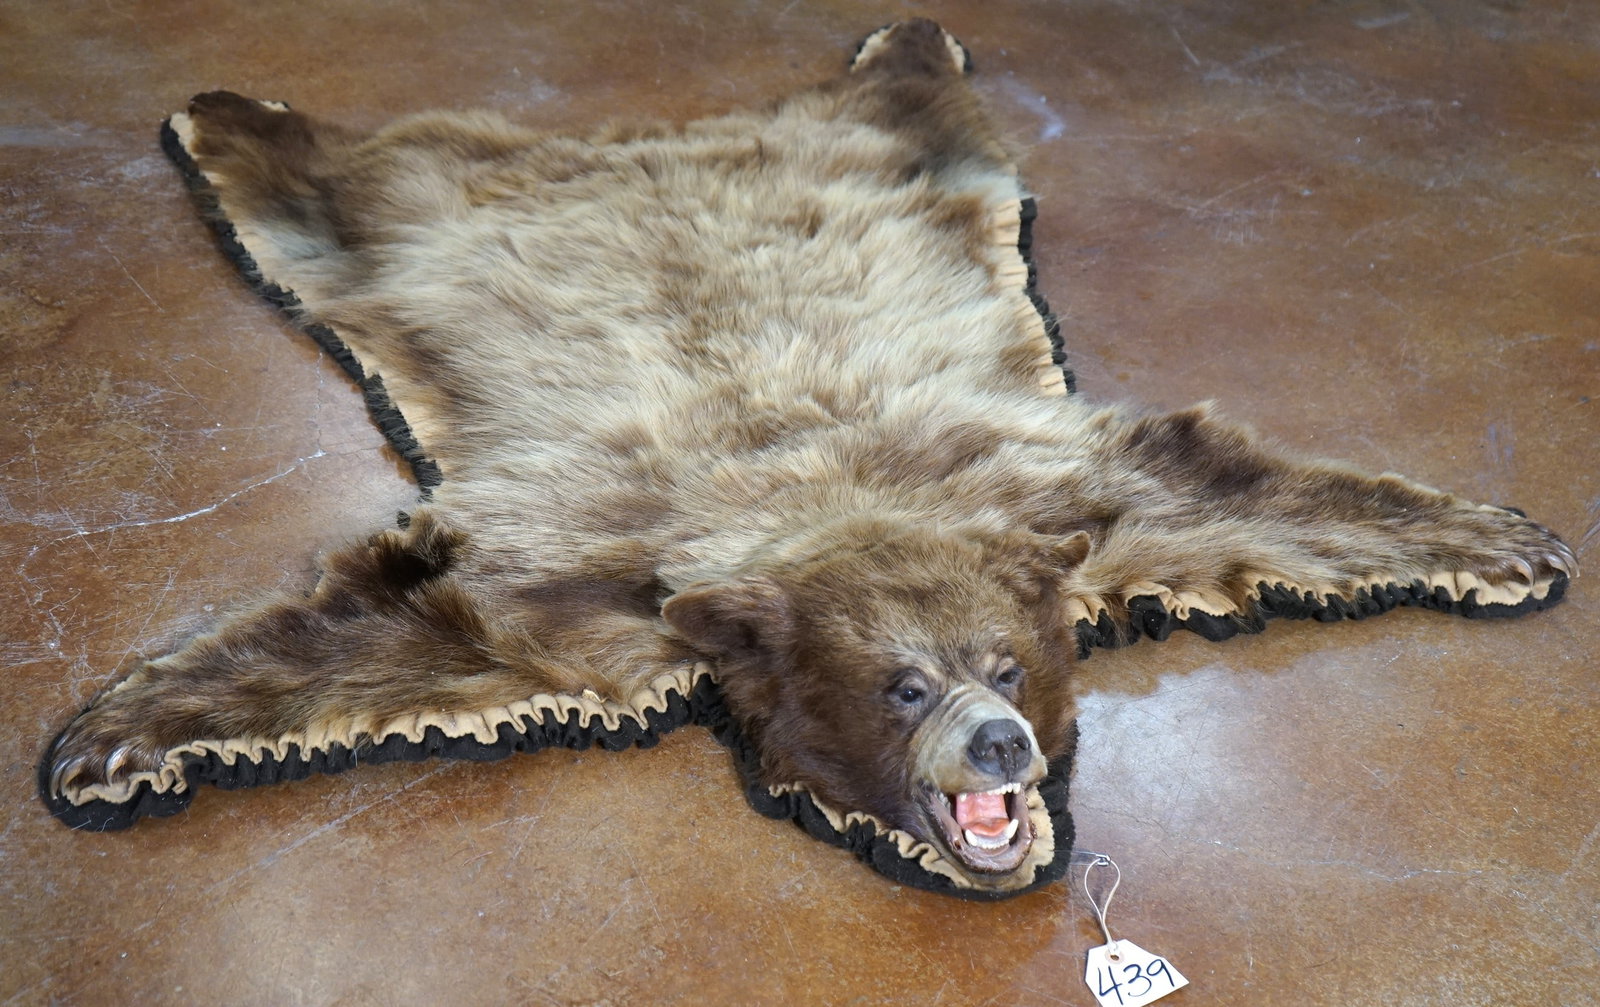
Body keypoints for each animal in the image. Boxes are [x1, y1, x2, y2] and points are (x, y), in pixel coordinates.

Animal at [40, 20, 1575, 897]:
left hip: (897, 155)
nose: (1001, 740)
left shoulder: (1062, 492)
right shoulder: (585, 588)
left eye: (1009, 663)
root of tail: (643, 136)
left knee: (916, 102)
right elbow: (381, 622)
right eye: (903, 686)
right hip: (406, 213)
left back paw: (907, 30)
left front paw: (1503, 539)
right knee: (334, 178)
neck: (824, 504)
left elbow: (1230, 483)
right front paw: (111, 736)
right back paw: (225, 112)